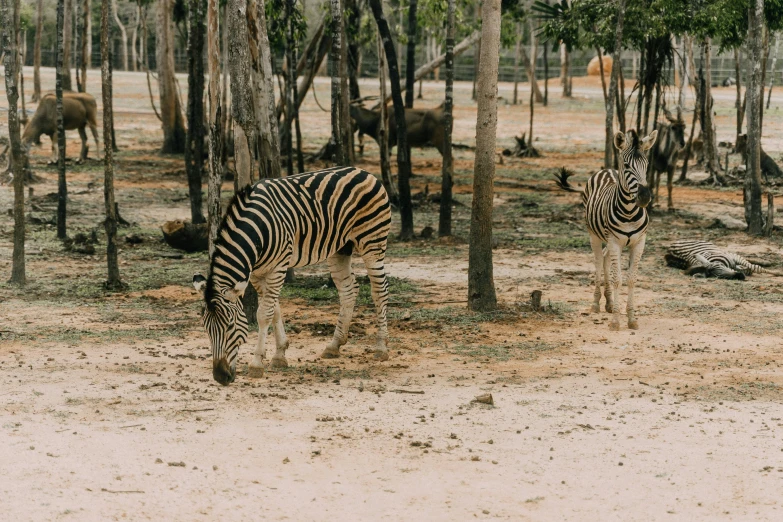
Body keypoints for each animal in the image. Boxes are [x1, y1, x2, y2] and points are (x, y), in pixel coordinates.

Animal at [194, 165, 396, 384]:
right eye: (206, 328)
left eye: (230, 326)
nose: (220, 377)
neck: (256, 231)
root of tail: (363, 171)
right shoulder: (257, 273)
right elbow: (274, 310)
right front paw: (279, 355)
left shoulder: (278, 266)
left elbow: (264, 314)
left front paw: (257, 364)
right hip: (341, 247)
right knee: (349, 290)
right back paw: (334, 345)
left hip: (372, 241)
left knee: (380, 291)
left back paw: (381, 347)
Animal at [556, 128, 660, 330]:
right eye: (627, 166)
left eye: (647, 164)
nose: (644, 197)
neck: (629, 212)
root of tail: (607, 170)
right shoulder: (614, 241)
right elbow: (617, 279)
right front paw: (616, 322)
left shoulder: (639, 242)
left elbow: (631, 279)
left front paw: (631, 318)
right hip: (594, 236)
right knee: (598, 262)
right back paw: (596, 303)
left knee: (604, 259)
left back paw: (609, 302)